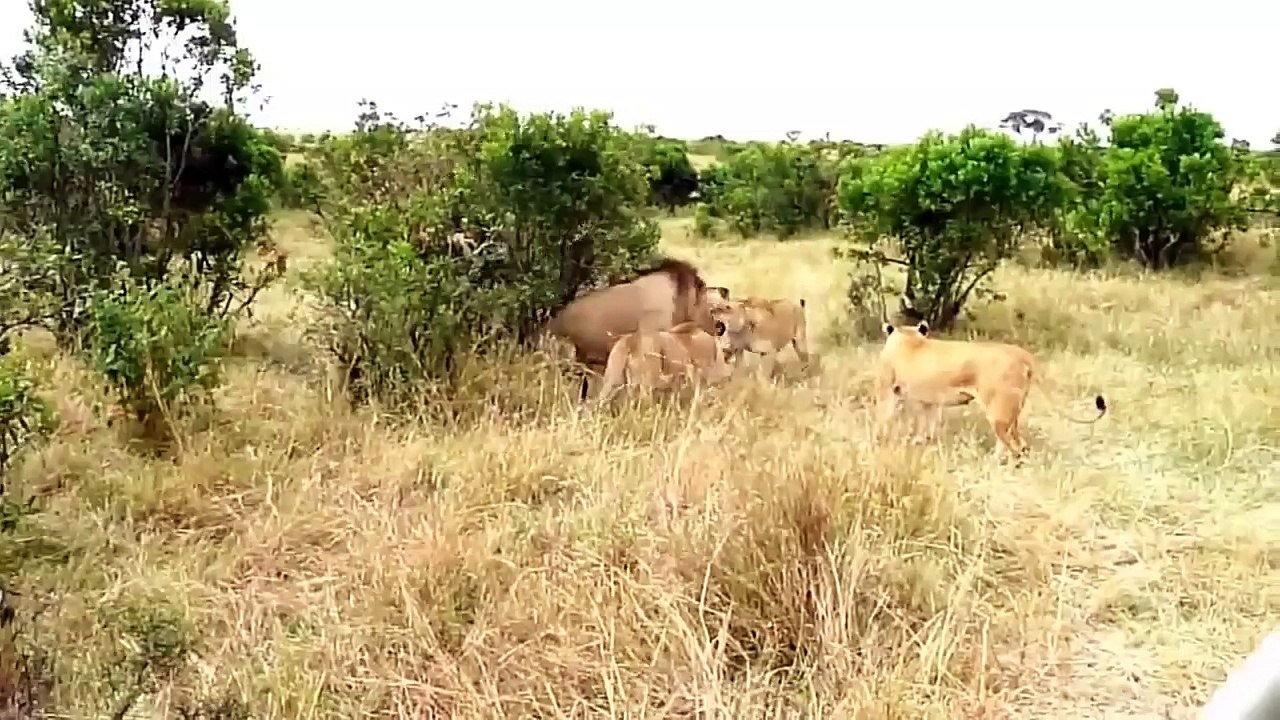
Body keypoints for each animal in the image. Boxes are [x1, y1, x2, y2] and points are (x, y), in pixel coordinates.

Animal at [874, 321, 1107, 459]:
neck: (908, 339)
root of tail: (1023, 354)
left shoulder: (889, 392)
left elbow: (885, 420)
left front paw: (881, 442)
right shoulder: (930, 401)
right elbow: (927, 425)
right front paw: (921, 443)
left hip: (998, 413)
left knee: (1012, 447)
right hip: (1013, 413)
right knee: (1020, 443)